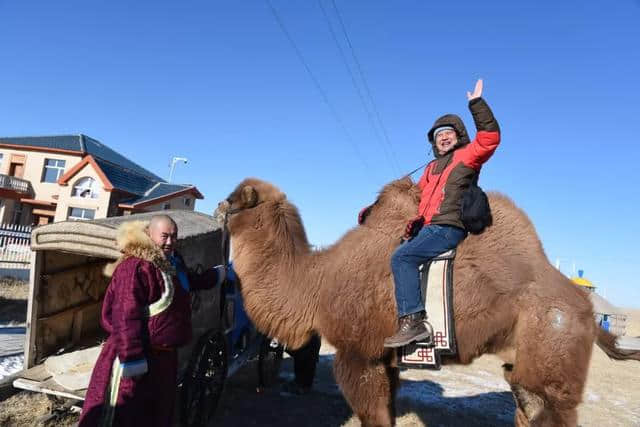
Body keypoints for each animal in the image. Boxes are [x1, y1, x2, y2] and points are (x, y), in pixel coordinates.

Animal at [216, 176, 640, 426]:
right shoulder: (386, 361)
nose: (219, 206)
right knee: (528, 406)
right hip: (525, 364)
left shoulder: (358, 354)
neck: (316, 283)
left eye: (235, 198)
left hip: (552, 357)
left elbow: (372, 414)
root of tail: (586, 308)